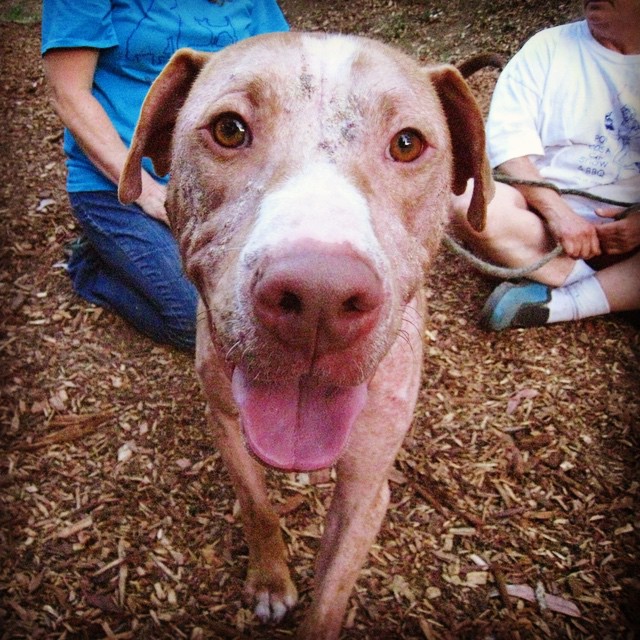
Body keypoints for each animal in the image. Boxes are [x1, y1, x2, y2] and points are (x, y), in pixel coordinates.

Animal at [119, 31, 490, 640]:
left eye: (408, 143)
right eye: (229, 130)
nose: (320, 299)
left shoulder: (367, 487)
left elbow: (332, 592)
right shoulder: (225, 418)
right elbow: (257, 504)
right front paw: (271, 581)